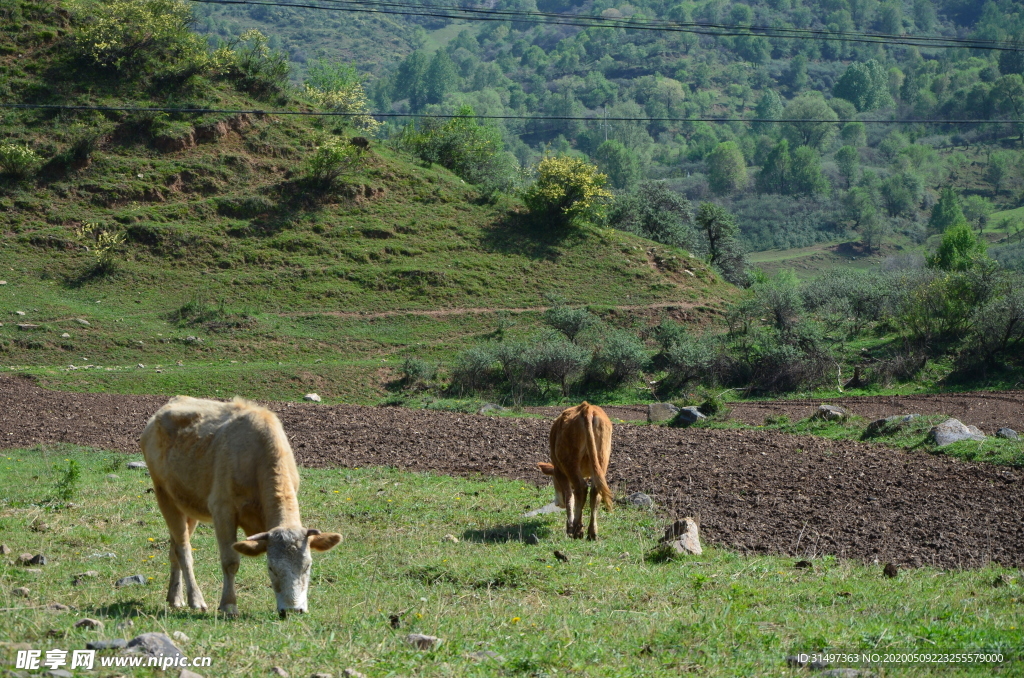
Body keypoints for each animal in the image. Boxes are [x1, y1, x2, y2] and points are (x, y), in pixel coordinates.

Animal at [140, 393, 342, 622]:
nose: (293, 610)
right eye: (271, 568)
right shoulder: (222, 510)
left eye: (307, 565)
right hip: (163, 494)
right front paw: (229, 605)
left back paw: (175, 597)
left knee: (175, 546)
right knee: (184, 549)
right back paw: (196, 599)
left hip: (187, 503)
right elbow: (230, 561)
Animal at [536, 403, 614, 540]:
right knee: (595, 491)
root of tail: (586, 407)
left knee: (580, 489)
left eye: (554, 480)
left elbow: (569, 497)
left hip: (570, 462)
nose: (557, 503)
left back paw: (576, 530)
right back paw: (592, 532)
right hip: (601, 458)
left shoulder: (560, 472)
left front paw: (570, 525)